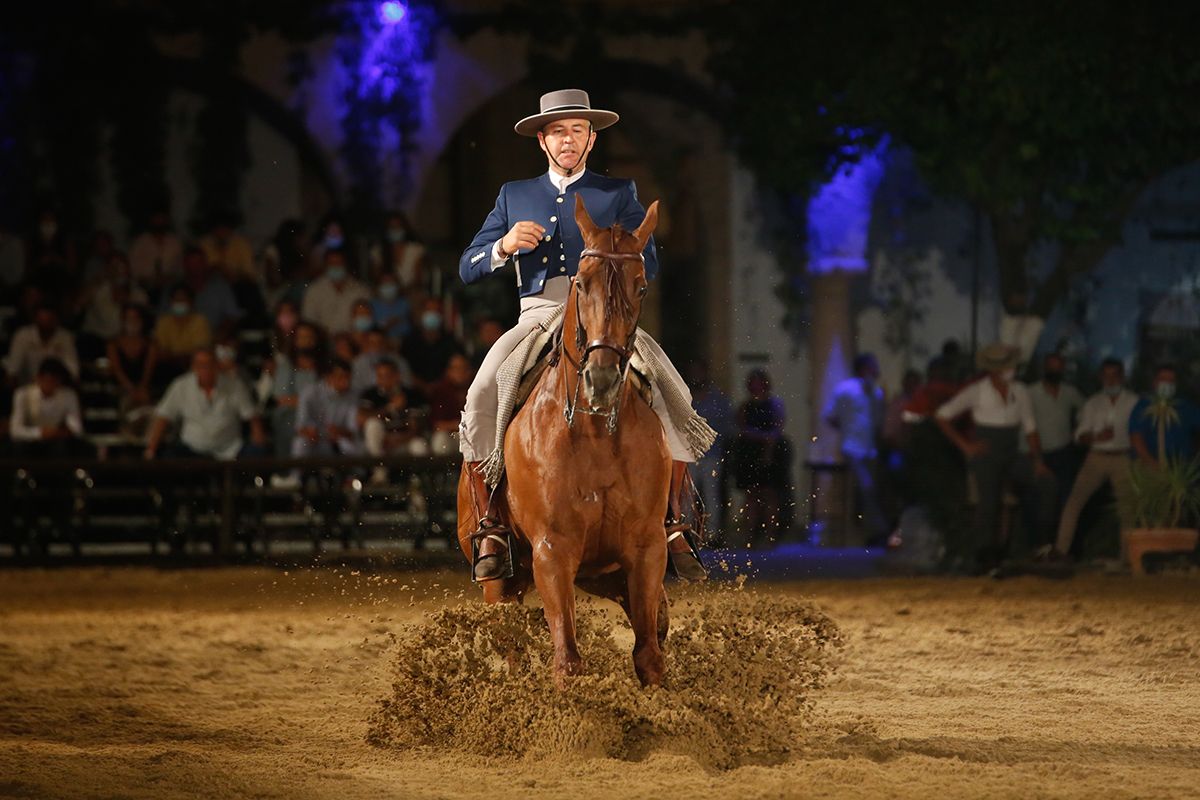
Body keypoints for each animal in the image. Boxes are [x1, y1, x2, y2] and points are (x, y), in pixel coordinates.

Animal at [456, 195, 672, 690]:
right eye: (581, 281)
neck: (593, 432)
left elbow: (649, 654)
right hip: (501, 581)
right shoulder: (553, 552)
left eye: (642, 287)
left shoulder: (644, 548)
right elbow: (567, 660)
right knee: (510, 639)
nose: (602, 380)